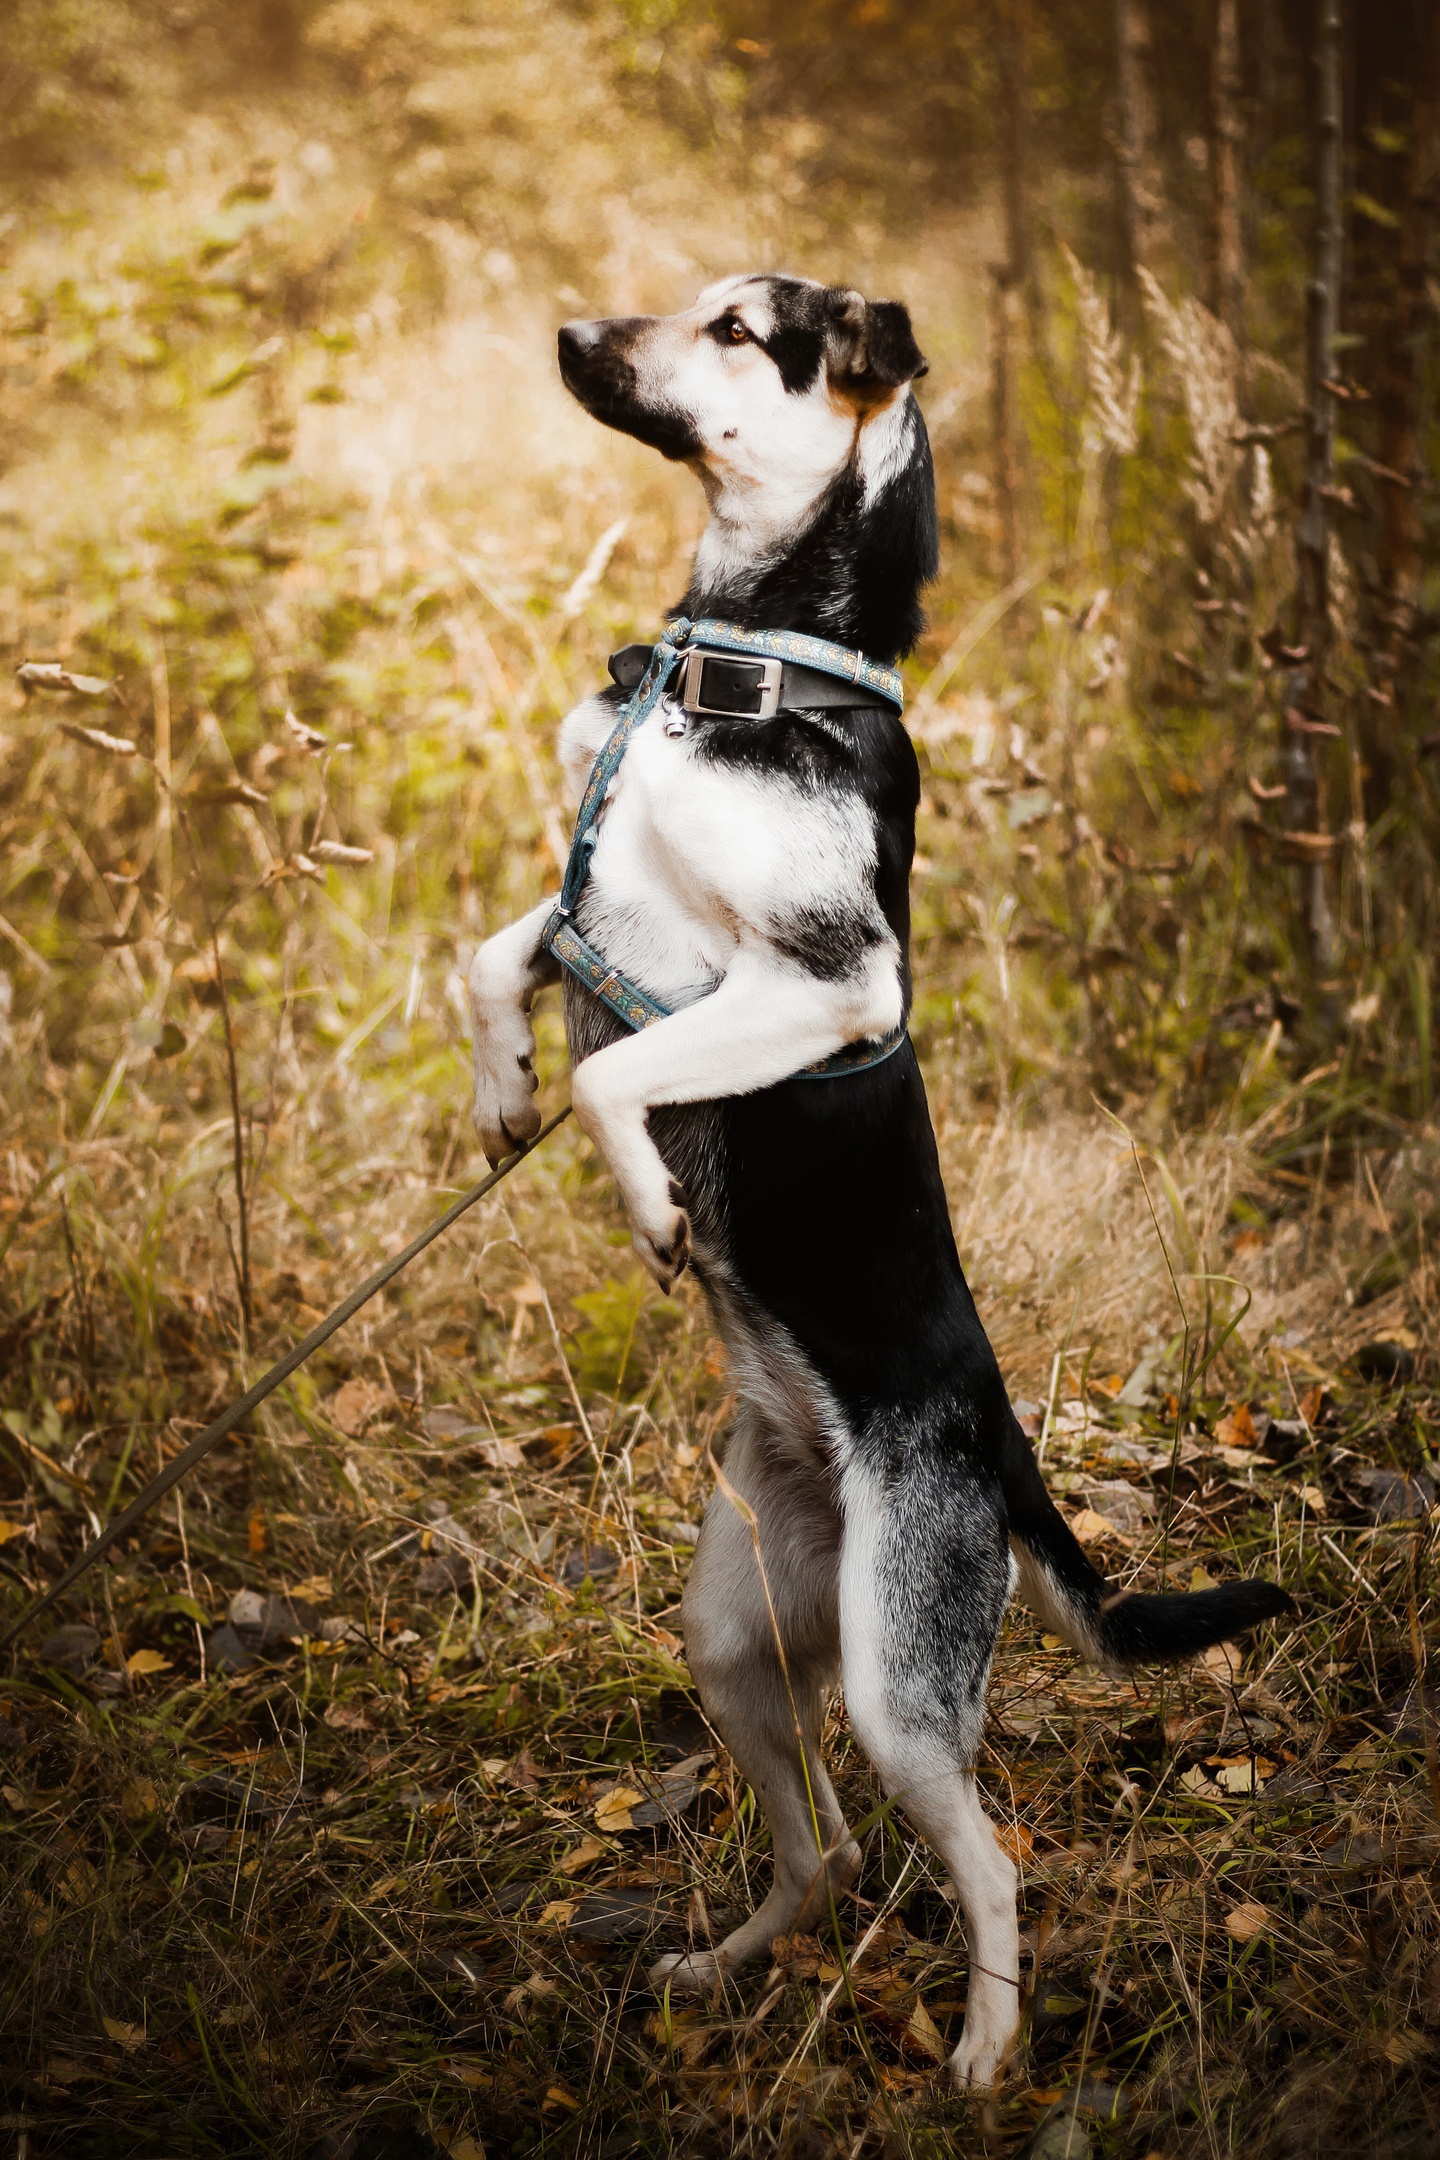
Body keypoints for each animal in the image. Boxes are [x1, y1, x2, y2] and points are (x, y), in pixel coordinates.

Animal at [470, 274, 1295, 2090]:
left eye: (733, 326)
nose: (562, 333)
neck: (742, 663)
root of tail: (995, 1446)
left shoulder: (827, 984)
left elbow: (617, 1067)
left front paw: (647, 1203)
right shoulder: (587, 900)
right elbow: (495, 965)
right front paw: (498, 1091)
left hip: (895, 1685)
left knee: (982, 1855)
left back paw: (985, 2048)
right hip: (737, 1632)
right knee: (830, 1853)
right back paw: (727, 1967)